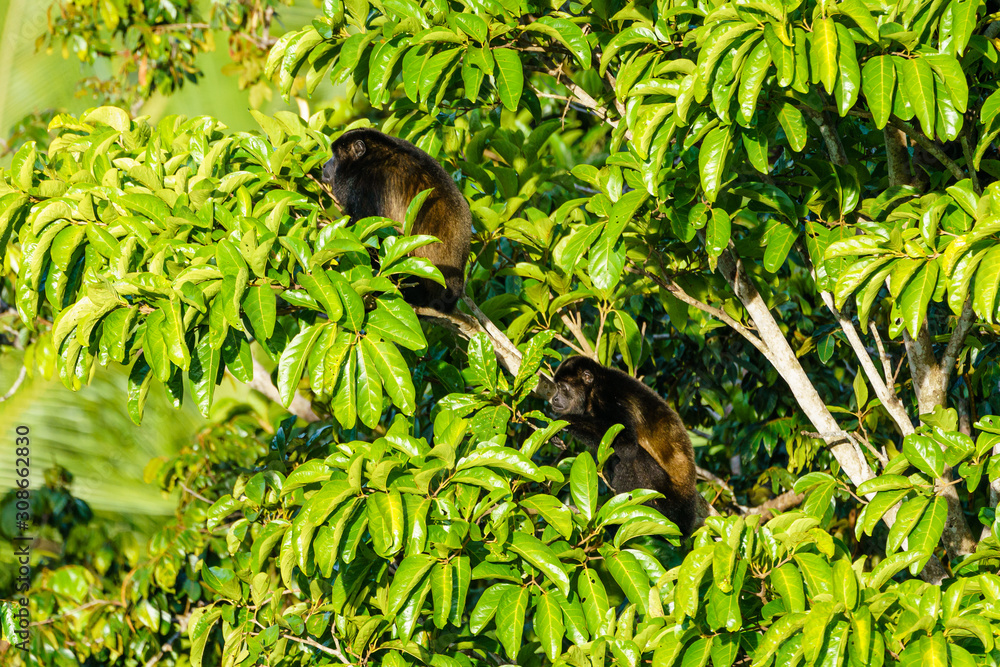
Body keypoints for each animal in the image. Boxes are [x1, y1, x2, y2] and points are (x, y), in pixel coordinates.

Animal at [549, 355, 699, 536]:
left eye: (563, 387)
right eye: (556, 387)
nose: (554, 399)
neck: (592, 390)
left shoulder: (608, 398)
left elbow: (627, 444)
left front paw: (566, 420)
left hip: (664, 494)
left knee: (630, 457)